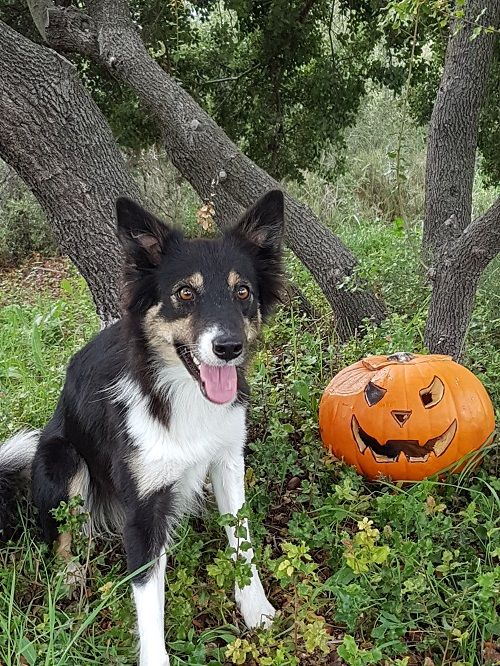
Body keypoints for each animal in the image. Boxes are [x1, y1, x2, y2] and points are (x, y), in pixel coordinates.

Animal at [0, 189, 286, 660]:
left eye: (242, 291)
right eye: (185, 293)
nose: (229, 348)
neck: (182, 392)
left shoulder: (228, 459)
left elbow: (241, 541)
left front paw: (257, 610)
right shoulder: (143, 505)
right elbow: (148, 597)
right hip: (62, 458)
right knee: (61, 537)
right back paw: (70, 576)